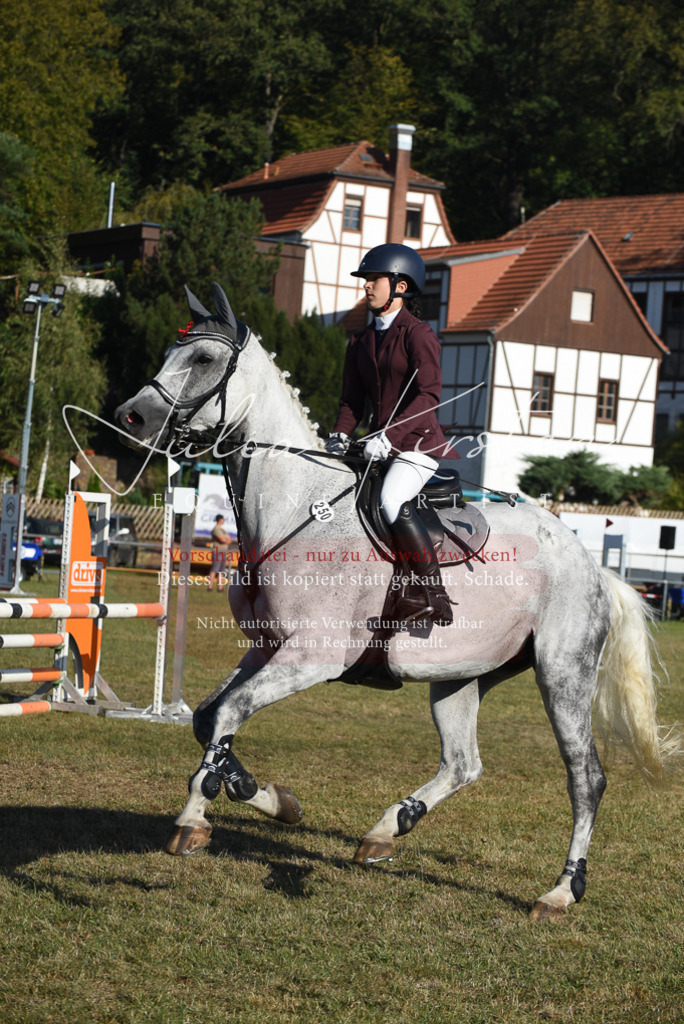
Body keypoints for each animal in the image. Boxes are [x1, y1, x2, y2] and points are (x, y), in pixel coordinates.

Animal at [115, 283, 678, 921]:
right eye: (170, 351)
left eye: (205, 359)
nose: (131, 415)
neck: (294, 507)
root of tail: (592, 564)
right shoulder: (267, 650)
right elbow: (208, 718)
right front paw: (268, 798)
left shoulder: (312, 659)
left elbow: (231, 713)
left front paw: (193, 817)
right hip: (462, 674)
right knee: (463, 762)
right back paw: (387, 829)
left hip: (563, 673)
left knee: (586, 778)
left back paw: (560, 891)